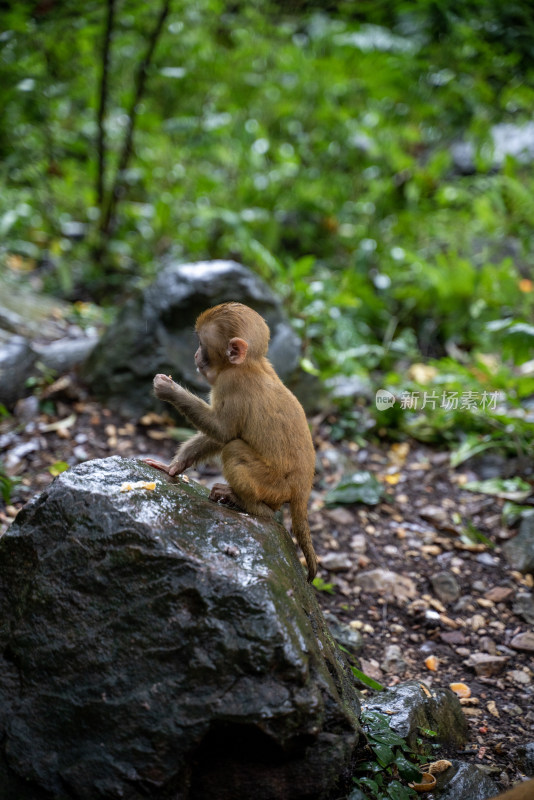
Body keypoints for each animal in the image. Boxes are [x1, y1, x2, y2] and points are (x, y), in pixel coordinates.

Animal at [146, 300, 318, 580]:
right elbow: (221, 436)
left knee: (234, 449)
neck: (248, 365)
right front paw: (174, 466)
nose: (195, 355)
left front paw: (169, 390)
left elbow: (225, 432)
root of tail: (303, 489)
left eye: (202, 343)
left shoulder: (231, 384)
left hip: (273, 484)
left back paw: (252, 506)